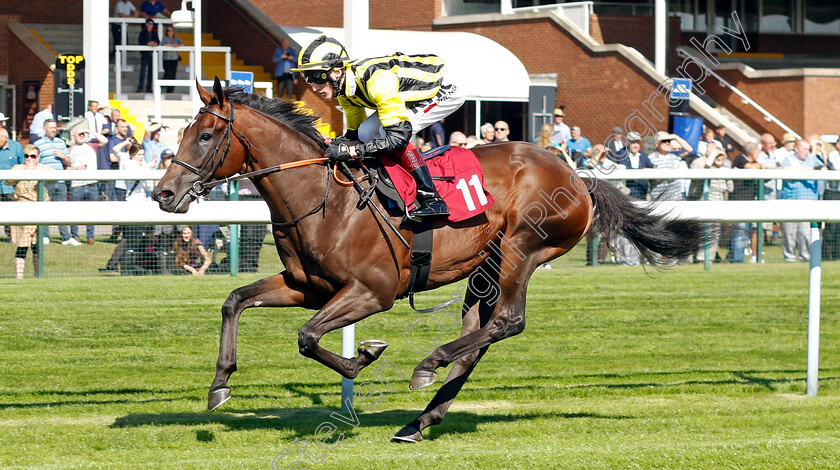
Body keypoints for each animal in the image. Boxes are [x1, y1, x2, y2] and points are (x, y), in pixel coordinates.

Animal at [153, 79, 708, 442]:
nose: (164, 193)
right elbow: (235, 300)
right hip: (486, 267)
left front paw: (364, 356)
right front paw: (219, 386)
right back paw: (418, 421)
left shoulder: (372, 292)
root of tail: (576, 176)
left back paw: (426, 366)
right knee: (478, 337)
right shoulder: (306, 286)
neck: (321, 197)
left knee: (507, 322)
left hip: (522, 248)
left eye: (205, 136)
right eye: (180, 134)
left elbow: (309, 337)